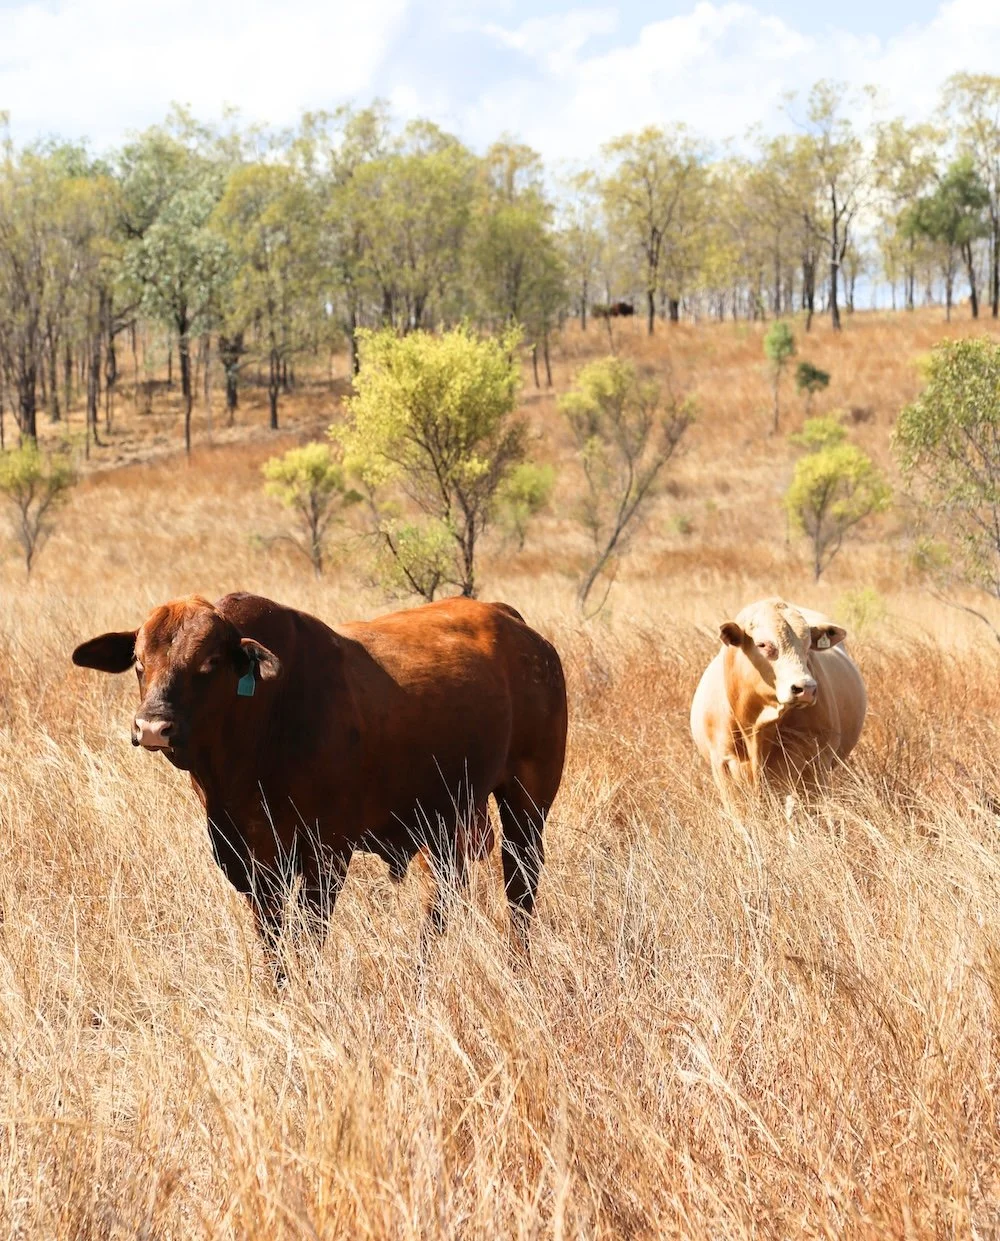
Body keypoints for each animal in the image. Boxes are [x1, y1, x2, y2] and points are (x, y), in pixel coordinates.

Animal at [72, 593, 568, 966]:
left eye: (209, 661)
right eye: (139, 661)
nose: (152, 726)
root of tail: (516, 625)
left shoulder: (325, 854)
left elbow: (309, 936)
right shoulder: (248, 858)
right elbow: (272, 938)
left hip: (527, 803)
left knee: (521, 887)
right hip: (447, 818)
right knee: (444, 895)